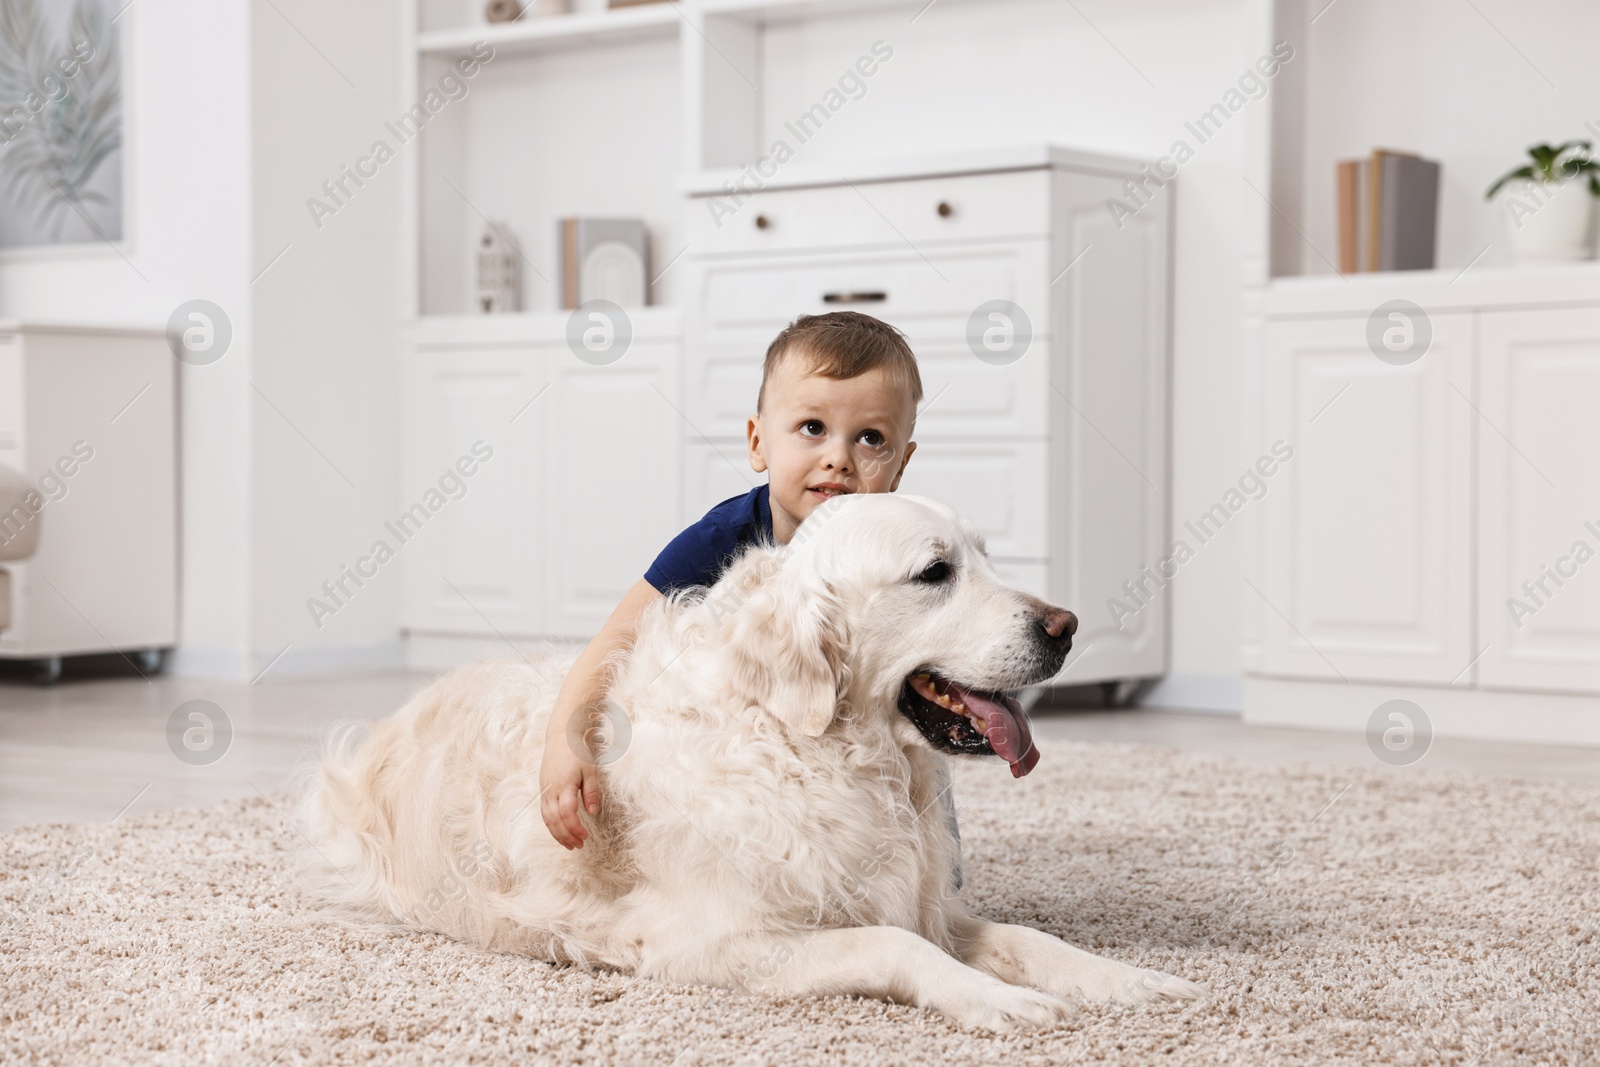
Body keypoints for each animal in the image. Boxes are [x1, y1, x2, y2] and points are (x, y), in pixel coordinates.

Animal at [302, 495, 1203, 1030]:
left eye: (985, 556)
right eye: (934, 571)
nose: (1068, 626)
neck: (811, 747)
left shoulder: (926, 901)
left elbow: (1026, 936)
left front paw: (1126, 979)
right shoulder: (710, 941)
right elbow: (898, 947)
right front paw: (1000, 999)